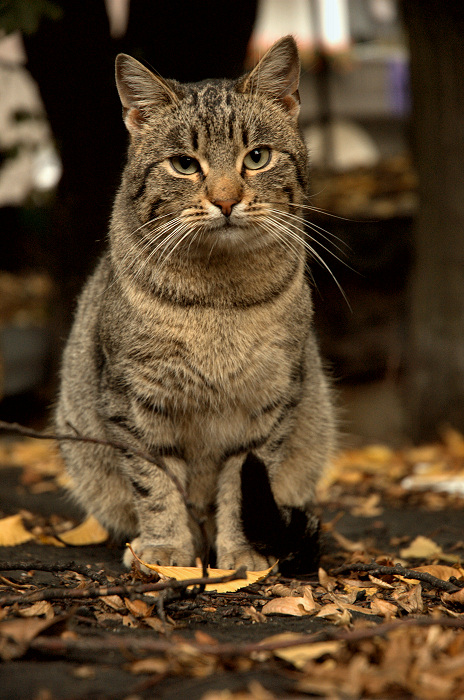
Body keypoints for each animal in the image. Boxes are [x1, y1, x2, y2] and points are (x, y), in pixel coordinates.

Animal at [56, 34, 336, 576]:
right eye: (185, 164)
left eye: (257, 157)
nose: (226, 200)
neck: (217, 300)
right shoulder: (133, 402)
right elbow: (155, 484)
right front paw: (166, 551)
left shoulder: (267, 407)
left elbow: (240, 490)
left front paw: (241, 553)